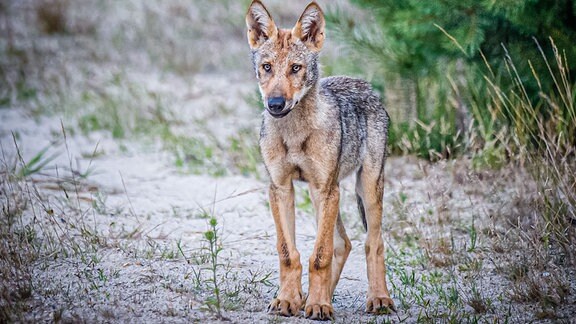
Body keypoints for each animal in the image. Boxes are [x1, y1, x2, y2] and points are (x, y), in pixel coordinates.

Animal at [245, 0, 394, 318]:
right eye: (267, 67)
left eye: (295, 68)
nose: (275, 104)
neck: (294, 135)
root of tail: (366, 86)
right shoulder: (280, 188)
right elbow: (289, 253)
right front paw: (289, 300)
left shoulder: (326, 189)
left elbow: (319, 256)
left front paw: (319, 305)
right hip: (321, 197)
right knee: (343, 243)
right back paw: (308, 299)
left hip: (364, 189)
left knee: (372, 243)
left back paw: (378, 298)